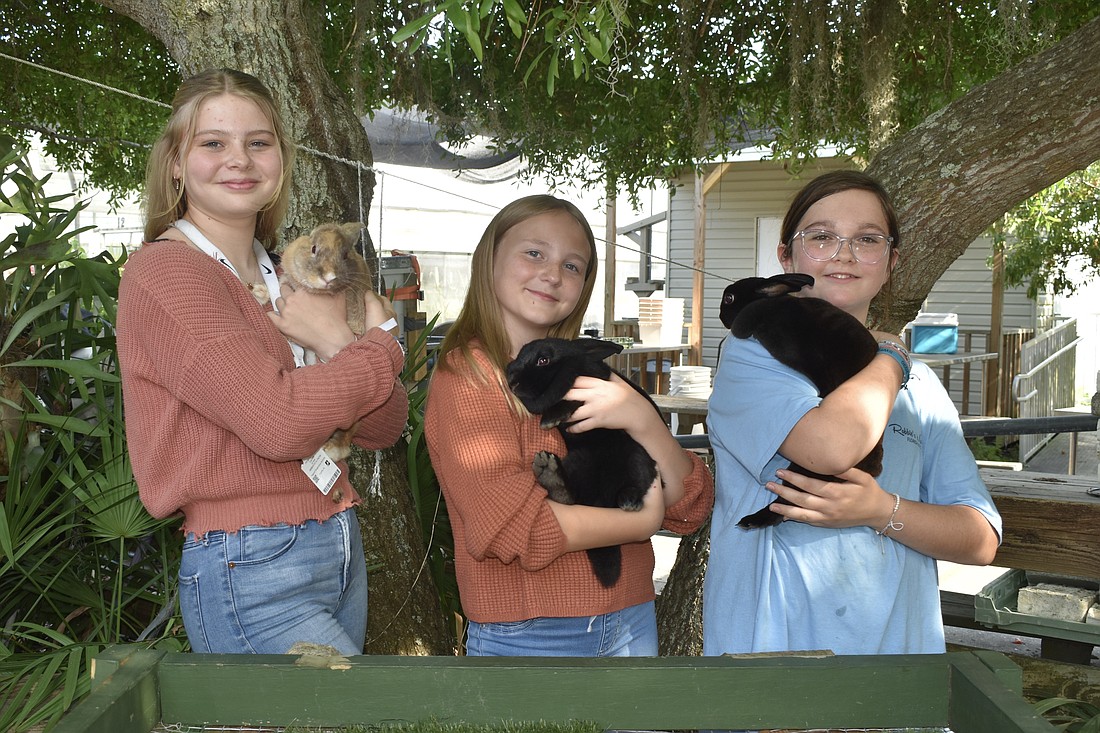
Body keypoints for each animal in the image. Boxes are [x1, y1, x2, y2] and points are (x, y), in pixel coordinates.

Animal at [508, 338, 660, 589]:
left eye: (543, 360)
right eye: (518, 356)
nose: (512, 381)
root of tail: (601, 500)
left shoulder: (592, 388)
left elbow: (572, 399)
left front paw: (549, 419)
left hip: (637, 459)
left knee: (635, 484)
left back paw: (630, 501)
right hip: (579, 462)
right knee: (572, 496)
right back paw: (553, 476)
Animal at [721, 270, 884, 528]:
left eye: (729, 299)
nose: (720, 314)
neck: (766, 301)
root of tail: (872, 468)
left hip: (804, 473)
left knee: (782, 505)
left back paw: (751, 520)